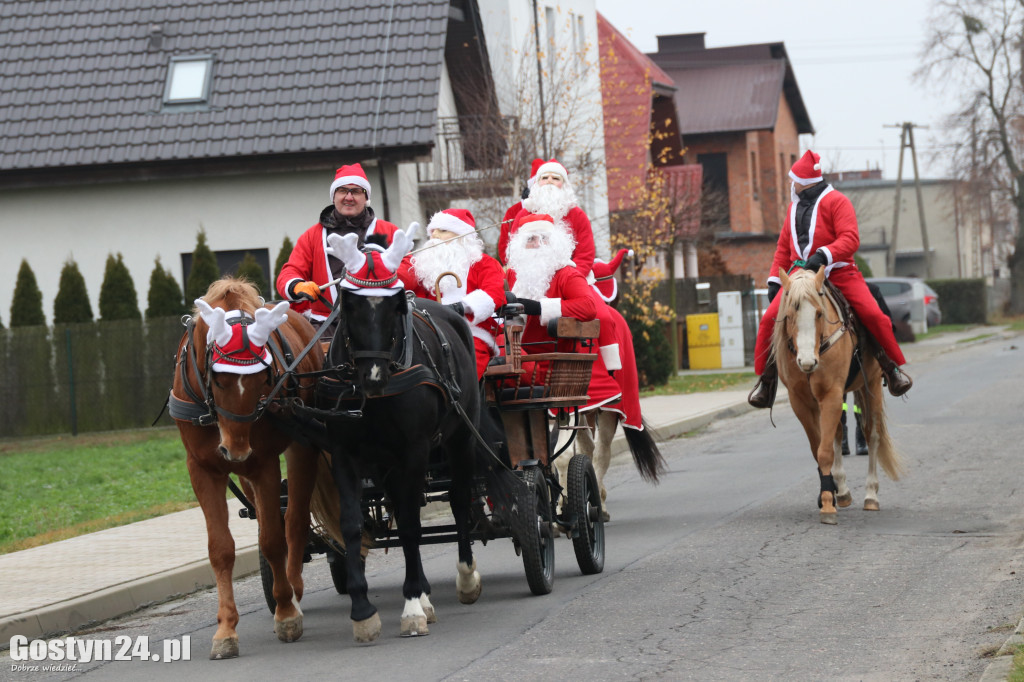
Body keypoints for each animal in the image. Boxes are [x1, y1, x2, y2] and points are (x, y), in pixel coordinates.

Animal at [171, 274, 323, 655]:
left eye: (263, 379)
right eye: (218, 379)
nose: (236, 451)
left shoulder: (263, 464)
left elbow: (272, 540)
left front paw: (286, 614)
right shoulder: (202, 469)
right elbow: (220, 549)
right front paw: (226, 630)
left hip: (302, 447)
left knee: (294, 521)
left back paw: (293, 591)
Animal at [319, 231, 516, 638]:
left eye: (394, 307)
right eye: (349, 306)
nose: (373, 377)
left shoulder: (415, 450)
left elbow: (411, 526)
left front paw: (411, 605)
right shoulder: (345, 453)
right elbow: (351, 525)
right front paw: (362, 610)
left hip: (459, 440)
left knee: (458, 500)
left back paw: (464, 578)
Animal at [774, 266, 905, 520]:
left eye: (818, 313)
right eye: (790, 314)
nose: (807, 362)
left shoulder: (831, 394)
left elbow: (825, 451)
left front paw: (827, 503)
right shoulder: (801, 402)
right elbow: (819, 448)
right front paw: (830, 491)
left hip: (871, 385)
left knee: (872, 435)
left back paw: (870, 495)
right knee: (837, 434)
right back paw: (842, 490)